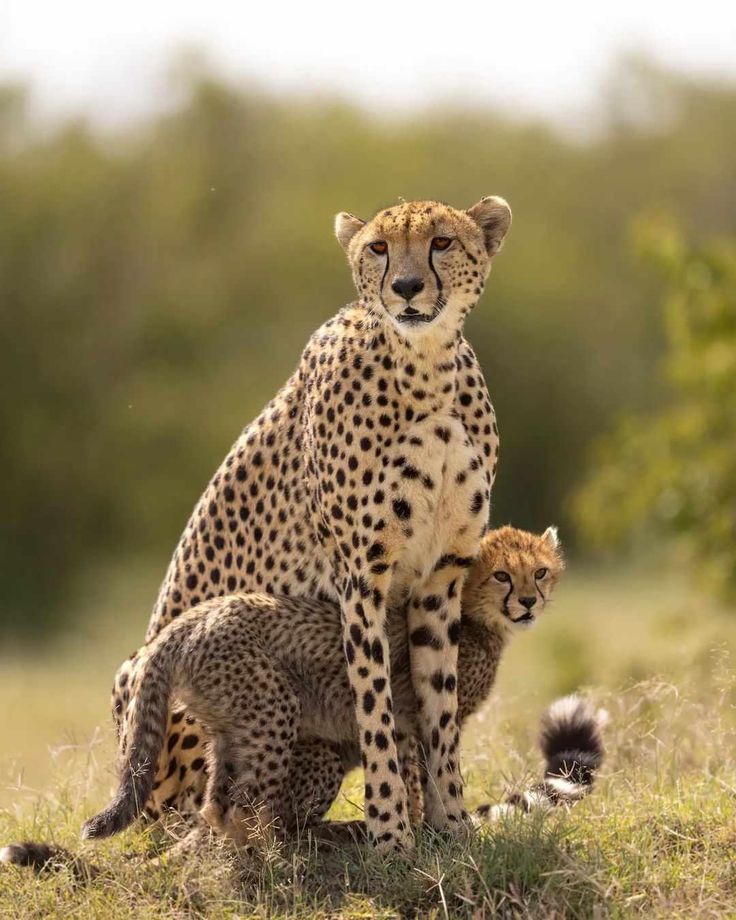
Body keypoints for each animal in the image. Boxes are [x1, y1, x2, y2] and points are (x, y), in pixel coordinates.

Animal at [83, 526, 565, 846]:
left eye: (540, 572)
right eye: (502, 575)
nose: (528, 602)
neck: (469, 617)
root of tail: (188, 621)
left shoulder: (405, 720)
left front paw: (420, 827)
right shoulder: (424, 716)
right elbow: (429, 769)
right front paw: (434, 828)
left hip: (227, 725)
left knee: (216, 802)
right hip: (275, 712)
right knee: (247, 804)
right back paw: (274, 856)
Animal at [109, 195, 512, 854]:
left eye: (442, 242)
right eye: (378, 248)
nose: (405, 287)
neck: (426, 369)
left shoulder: (439, 577)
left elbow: (439, 712)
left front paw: (450, 827)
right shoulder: (363, 579)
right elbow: (376, 710)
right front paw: (391, 836)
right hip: (156, 694)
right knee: (192, 814)